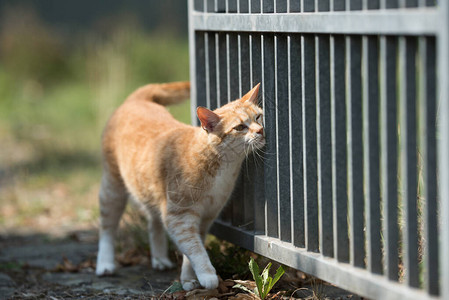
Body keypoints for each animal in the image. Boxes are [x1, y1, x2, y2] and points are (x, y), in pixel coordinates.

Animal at [94, 82, 262, 290]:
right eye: (240, 127)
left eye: (258, 117)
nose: (260, 131)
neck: (222, 166)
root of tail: (138, 99)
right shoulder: (179, 217)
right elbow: (195, 248)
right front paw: (207, 275)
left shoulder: (205, 217)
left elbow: (192, 249)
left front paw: (189, 278)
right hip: (113, 188)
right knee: (107, 228)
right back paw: (105, 263)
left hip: (152, 192)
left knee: (154, 222)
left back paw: (159, 259)